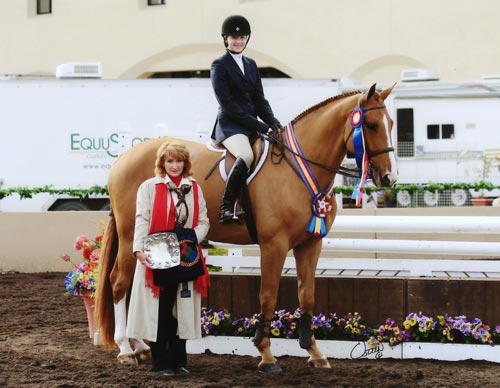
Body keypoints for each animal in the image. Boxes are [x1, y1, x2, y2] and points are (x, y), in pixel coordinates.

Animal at [94, 83, 398, 372]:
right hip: (131, 235)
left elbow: (307, 295)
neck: (299, 170)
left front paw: (314, 352)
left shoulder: (311, 243)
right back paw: (126, 349)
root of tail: (122, 159)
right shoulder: (274, 245)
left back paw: (140, 346)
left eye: (392, 123)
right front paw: (266, 354)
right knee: (118, 281)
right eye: (371, 125)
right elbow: (268, 296)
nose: (389, 178)